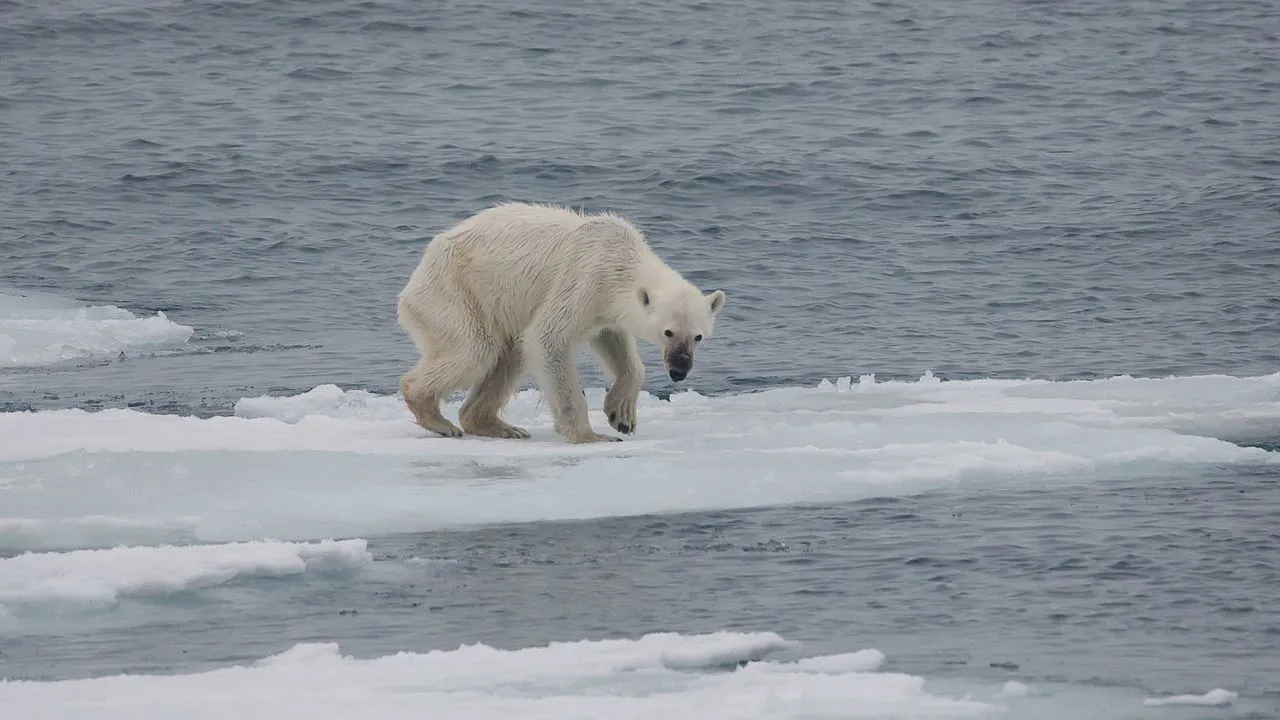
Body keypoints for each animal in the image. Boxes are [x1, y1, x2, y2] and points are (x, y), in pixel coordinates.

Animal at [394, 198, 727, 440]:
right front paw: (591, 436)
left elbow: (614, 342)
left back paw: (500, 426)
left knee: (509, 354)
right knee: (476, 349)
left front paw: (621, 415)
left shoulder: (603, 307)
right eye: (668, 332)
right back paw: (437, 417)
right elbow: (547, 338)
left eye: (698, 336)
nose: (679, 370)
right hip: (454, 292)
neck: (620, 259)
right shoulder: (584, 279)